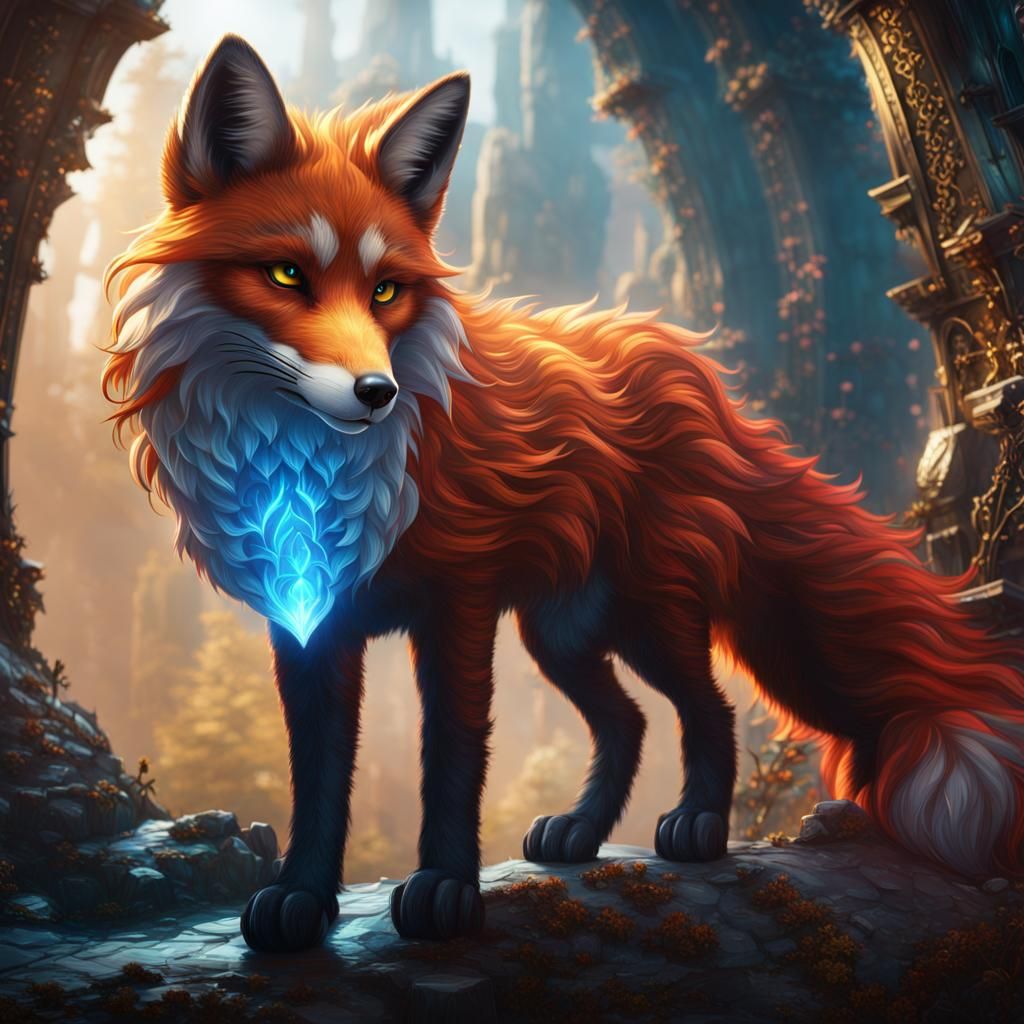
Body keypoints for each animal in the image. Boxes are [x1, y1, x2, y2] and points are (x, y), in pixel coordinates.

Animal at [103, 35, 1024, 952]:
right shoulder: (308, 626)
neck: (309, 472)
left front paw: (445, 890)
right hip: (563, 632)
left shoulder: (460, 604)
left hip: (649, 616)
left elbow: (452, 757)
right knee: (629, 722)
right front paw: (300, 899)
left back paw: (697, 826)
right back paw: (580, 833)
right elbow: (318, 773)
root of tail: (693, 372)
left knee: (710, 710)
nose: (379, 393)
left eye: (386, 291)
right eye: (287, 275)